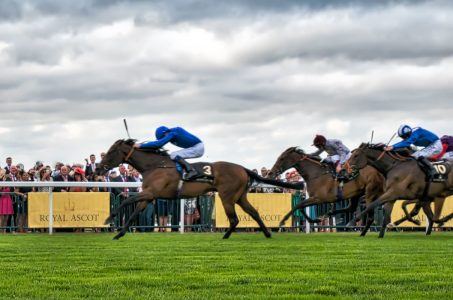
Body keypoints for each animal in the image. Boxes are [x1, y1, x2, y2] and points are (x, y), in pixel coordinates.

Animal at [96, 139, 302, 240]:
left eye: (112, 151)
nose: (98, 168)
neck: (155, 166)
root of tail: (242, 168)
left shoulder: (150, 192)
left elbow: (128, 200)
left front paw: (108, 218)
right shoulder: (149, 196)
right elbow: (133, 212)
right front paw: (119, 233)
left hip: (227, 196)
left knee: (234, 219)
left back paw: (226, 236)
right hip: (240, 197)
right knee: (253, 213)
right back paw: (267, 233)